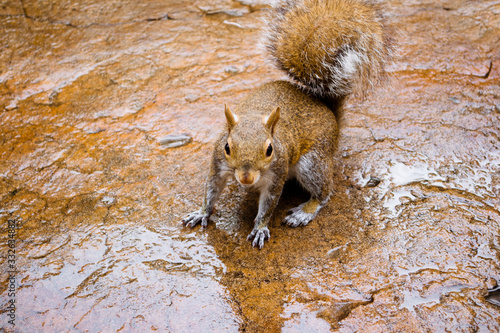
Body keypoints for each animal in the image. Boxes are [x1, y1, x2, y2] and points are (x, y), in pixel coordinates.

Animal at [180, 0, 394, 246]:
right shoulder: (217, 165)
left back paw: (305, 211)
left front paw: (260, 227)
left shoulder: (276, 176)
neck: (254, 115)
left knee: (325, 192)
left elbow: (268, 205)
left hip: (313, 163)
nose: (245, 178)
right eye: (227, 147)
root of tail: (328, 111)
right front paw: (202, 213)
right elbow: (211, 191)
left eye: (270, 149)